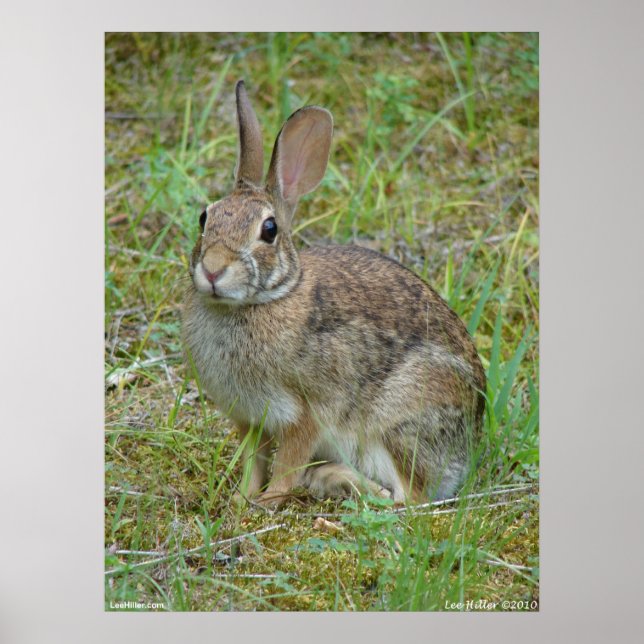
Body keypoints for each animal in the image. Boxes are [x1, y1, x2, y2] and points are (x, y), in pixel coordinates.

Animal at [182, 80, 486, 508]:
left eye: (269, 230)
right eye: (204, 217)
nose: (212, 268)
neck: (264, 300)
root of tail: (468, 448)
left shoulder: (305, 413)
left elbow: (287, 465)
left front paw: (267, 502)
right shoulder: (249, 419)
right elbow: (253, 462)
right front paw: (241, 500)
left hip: (399, 419)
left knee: (406, 498)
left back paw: (332, 477)